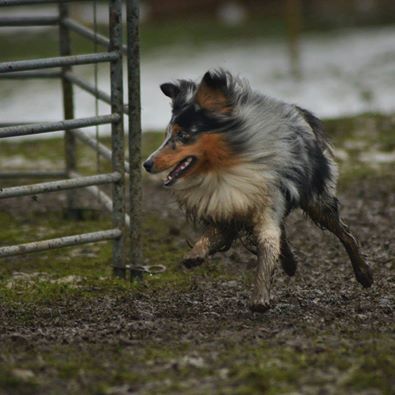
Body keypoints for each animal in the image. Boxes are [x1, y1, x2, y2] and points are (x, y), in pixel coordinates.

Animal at [143, 70, 374, 312]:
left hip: (317, 200)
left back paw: (363, 273)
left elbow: (268, 245)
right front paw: (195, 254)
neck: (224, 169)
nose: (146, 164)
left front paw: (260, 296)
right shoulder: (228, 205)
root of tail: (297, 112)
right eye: (166, 135)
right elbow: (212, 235)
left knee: (345, 233)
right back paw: (290, 262)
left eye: (182, 135)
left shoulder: (265, 203)